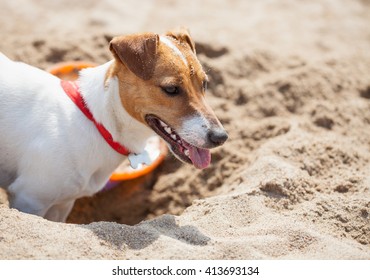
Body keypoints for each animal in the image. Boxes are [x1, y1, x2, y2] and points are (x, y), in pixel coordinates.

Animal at [0, 27, 227, 221]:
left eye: (205, 84)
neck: (96, 120)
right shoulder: (29, 199)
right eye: (171, 89)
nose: (221, 137)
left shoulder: (62, 204)